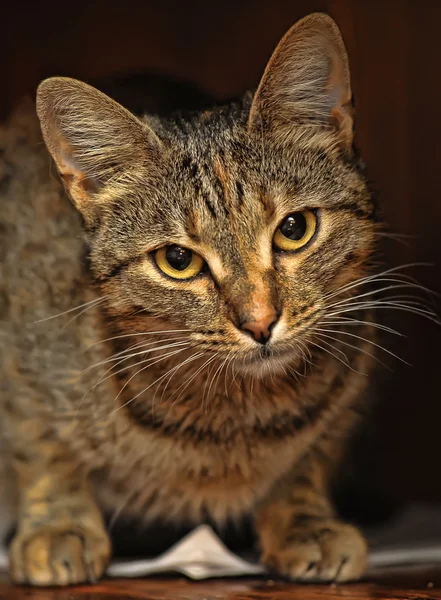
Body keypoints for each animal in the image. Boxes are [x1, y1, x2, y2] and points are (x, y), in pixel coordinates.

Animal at [0, 12, 378, 584]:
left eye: (295, 229)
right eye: (178, 260)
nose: (260, 321)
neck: (235, 418)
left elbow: (309, 456)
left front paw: (304, 520)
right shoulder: (19, 349)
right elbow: (42, 446)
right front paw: (59, 525)